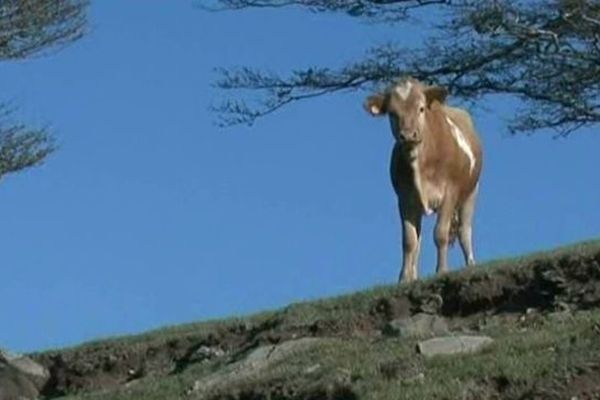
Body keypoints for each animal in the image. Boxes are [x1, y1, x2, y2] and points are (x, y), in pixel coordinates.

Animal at [366, 78, 482, 282]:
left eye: (421, 108)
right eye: (392, 113)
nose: (408, 135)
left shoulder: (450, 192)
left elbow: (441, 233)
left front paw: (442, 270)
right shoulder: (404, 198)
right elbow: (409, 240)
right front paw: (404, 279)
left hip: (471, 192)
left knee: (464, 231)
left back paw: (471, 265)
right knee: (418, 242)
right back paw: (414, 275)